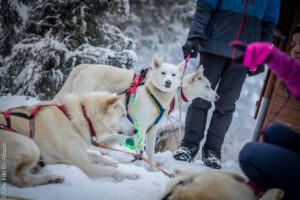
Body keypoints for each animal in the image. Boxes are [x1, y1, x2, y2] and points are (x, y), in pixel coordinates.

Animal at [0, 92, 138, 188]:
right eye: (123, 116)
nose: (136, 130)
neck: (82, 117)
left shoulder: (80, 151)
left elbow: (95, 154)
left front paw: (109, 160)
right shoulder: (83, 165)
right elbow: (111, 170)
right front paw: (130, 174)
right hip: (30, 146)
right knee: (19, 179)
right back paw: (50, 178)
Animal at [53, 56, 218, 167]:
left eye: (173, 75)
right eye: (208, 86)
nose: (218, 96)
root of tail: (84, 66)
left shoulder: (152, 130)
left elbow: (150, 154)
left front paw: (153, 169)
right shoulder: (141, 128)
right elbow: (140, 153)